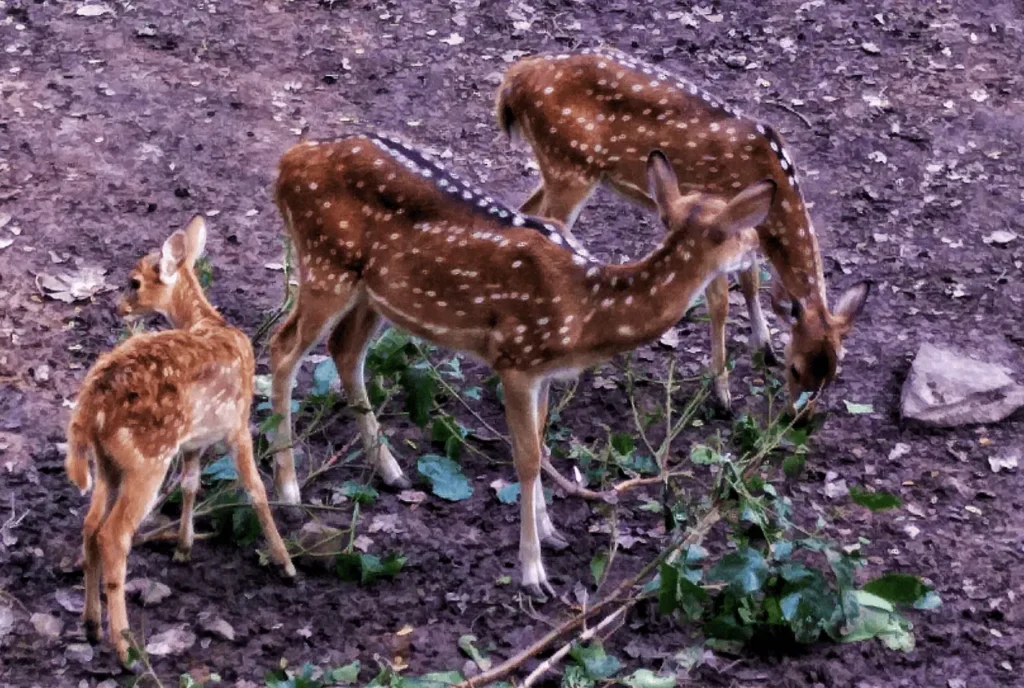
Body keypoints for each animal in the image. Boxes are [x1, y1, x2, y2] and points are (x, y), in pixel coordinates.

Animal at [66, 216, 294, 667]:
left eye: (134, 281)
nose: (119, 307)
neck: (208, 322)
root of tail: (90, 406)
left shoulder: (192, 441)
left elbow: (191, 484)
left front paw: (185, 547)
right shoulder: (237, 423)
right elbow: (256, 489)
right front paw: (285, 563)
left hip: (107, 463)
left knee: (90, 526)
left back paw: (91, 625)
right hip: (146, 460)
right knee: (113, 536)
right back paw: (125, 647)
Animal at [268, 134, 770, 597]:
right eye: (739, 228)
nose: (758, 245)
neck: (585, 311)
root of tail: (288, 161)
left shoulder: (545, 371)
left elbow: (543, 441)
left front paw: (550, 531)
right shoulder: (515, 358)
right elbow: (526, 459)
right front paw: (533, 572)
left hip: (373, 291)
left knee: (344, 348)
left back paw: (391, 471)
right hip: (325, 262)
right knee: (282, 348)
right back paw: (290, 492)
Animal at [495, 48, 872, 413]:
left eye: (833, 375)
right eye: (795, 369)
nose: (798, 420)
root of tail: (514, 80)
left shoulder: (744, 233)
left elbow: (751, 280)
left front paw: (764, 347)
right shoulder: (715, 223)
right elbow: (720, 304)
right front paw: (723, 395)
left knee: (524, 209)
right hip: (569, 165)